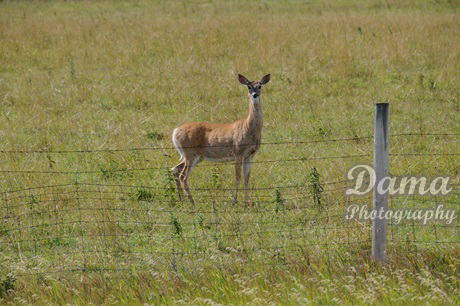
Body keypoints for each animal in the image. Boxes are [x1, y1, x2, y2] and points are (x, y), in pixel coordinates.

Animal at [172, 73, 272, 204]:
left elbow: (246, 179)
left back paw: (182, 200)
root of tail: (175, 132)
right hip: (190, 154)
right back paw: (192, 202)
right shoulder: (238, 152)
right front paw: (234, 202)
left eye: (259, 86)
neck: (249, 126)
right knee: (183, 176)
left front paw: (247, 202)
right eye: (248, 86)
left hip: (196, 156)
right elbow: (238, 177)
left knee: (175, 169)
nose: (254, 94)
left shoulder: (250, 155)